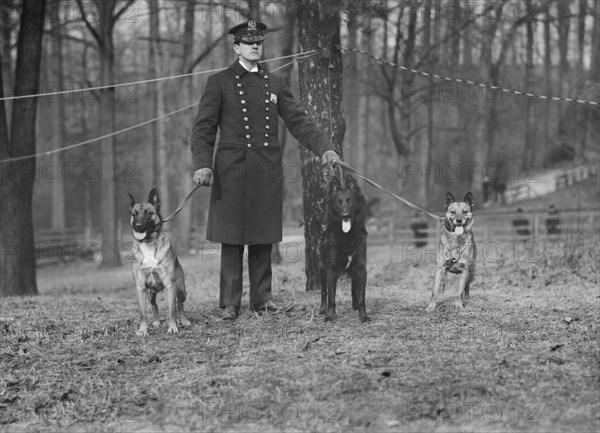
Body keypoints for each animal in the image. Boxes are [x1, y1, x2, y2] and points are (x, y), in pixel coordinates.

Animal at [129, 187, 190, 336]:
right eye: (134, 214)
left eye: (148, 213)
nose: (138, 226)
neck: (148, 243)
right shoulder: (140, 287)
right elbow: (143, 313)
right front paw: (142, 330)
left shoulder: (170, 285)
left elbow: (172, 310)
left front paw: (172, 327)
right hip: (150, 293)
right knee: (154, 305)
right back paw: (156, 322)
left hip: (181, 290)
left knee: (180, 305)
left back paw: (184, 321)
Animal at [318, 172, 370, 320]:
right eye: (338, 203)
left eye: (350, 201)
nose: (345, 214)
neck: (347, 235)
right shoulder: (331, 269)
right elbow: (331, 297)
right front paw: (330, 316)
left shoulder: (360, 268)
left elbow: (361, 296)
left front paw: (363, 316)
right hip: (322, 268)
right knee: (323, 292)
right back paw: (322, 309)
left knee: (353, 288)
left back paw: (355, 306)